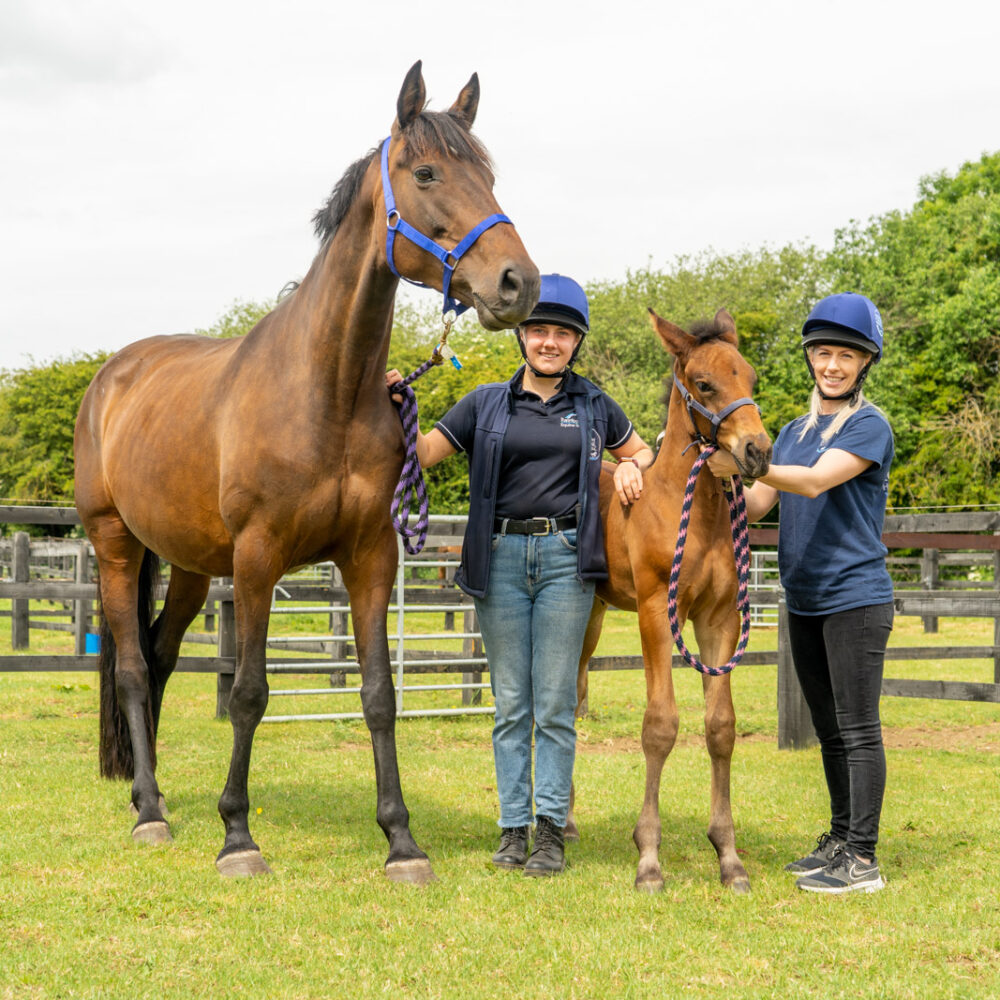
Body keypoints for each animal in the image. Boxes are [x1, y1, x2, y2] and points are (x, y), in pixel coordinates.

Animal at [72, 62, 540, 884]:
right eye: (426, 172)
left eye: (490, 175)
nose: (519, 283)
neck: (328, 389)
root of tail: (113, 377)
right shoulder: (259, 560)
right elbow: (250, 692)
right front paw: (237, 835)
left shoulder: (369, 557)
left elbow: (380, 695)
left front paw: (401, 841)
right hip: (116, 546)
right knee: (130, 667)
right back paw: (152, 811)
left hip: (189, 566)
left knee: (159, 658)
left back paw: (144, 794)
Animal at [572, 308, 772, 896]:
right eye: (704, 384)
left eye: (751, 378)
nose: (758, 452)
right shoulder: (657, 612)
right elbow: (660, 726)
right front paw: (648, 859)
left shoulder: (718, 620)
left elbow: (721, 726)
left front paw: (729, 857)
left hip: (590, 620)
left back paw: (563, 823)